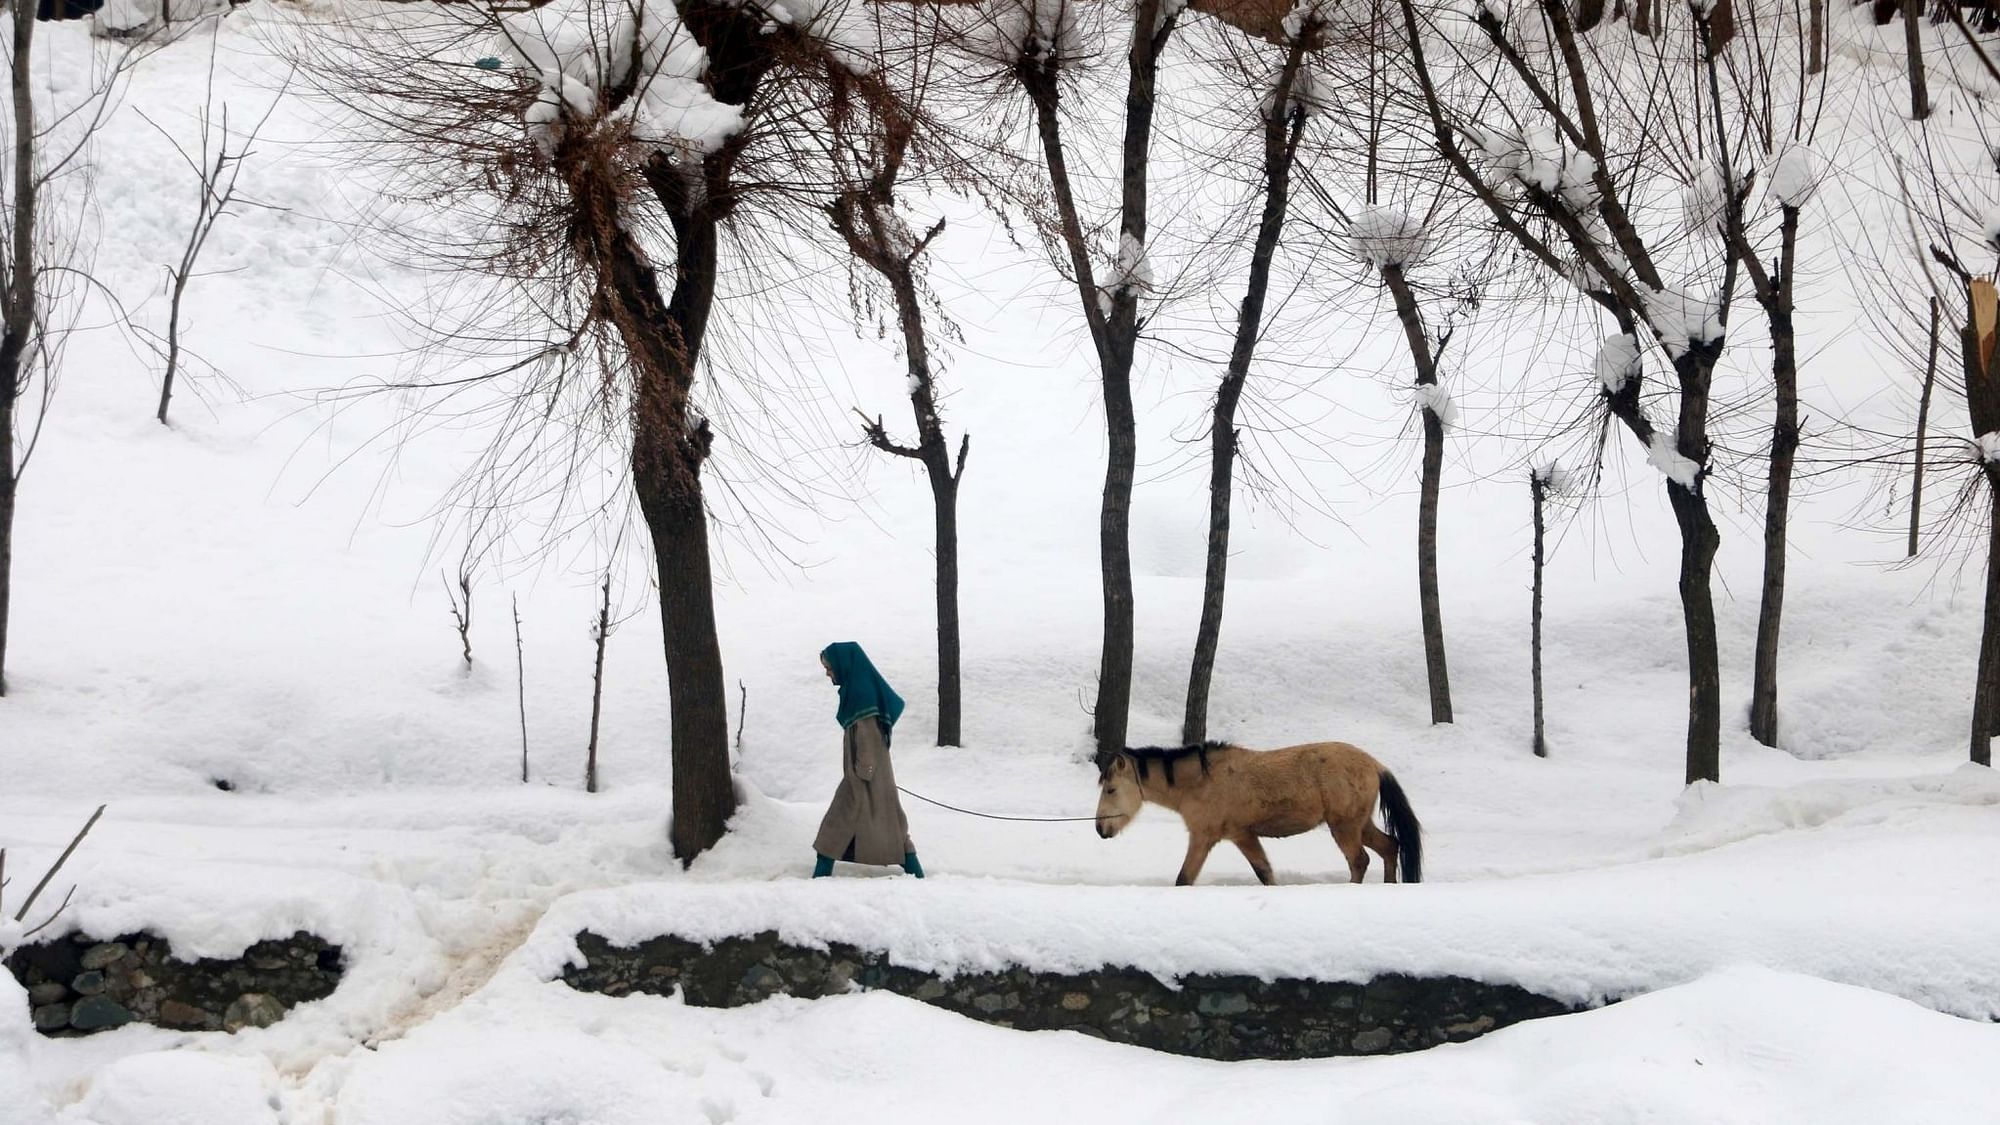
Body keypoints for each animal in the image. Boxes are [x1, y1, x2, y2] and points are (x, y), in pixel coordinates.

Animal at [1096, 736, 1424, 884]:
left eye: (1110, 789)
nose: (1100, 828)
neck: (1202, 781)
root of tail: (1376, 765)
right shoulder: (1238, 836)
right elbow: (1265, 872)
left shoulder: (1210, 837)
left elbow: (1184, 879)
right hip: (1360, 824)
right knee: (1390, 847)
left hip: (1345, 827)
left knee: (1359, 860)